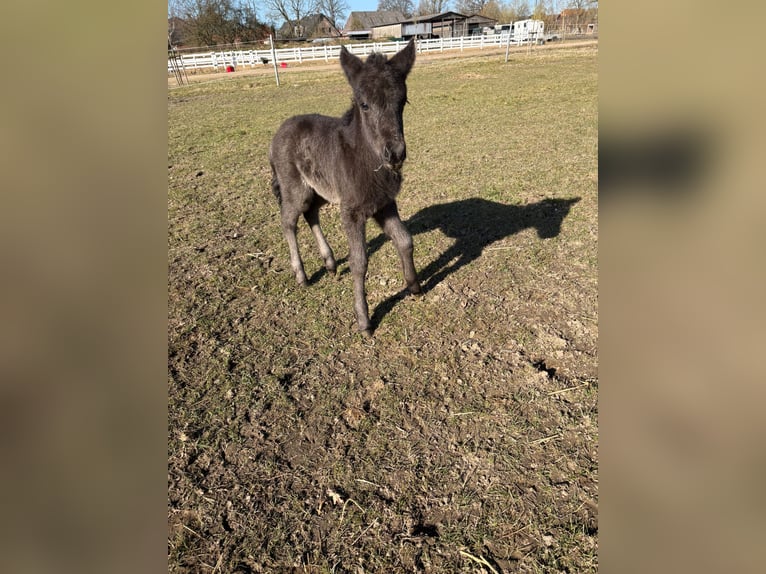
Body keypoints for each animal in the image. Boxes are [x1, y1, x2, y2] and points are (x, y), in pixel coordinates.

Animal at [269, 39, 420, 336]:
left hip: (319, 189)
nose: (395, 154)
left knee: (311, 213)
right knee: (288, 221)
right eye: (364, 104)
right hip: (295, 188)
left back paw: (328, 263)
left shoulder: (384, 204)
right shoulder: (352, 211)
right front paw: (364, 320)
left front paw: (414, 286)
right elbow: (359, 262)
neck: (367, 160)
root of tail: (279, 130)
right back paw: (301, 275)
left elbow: (405, 239)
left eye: (403, 101)